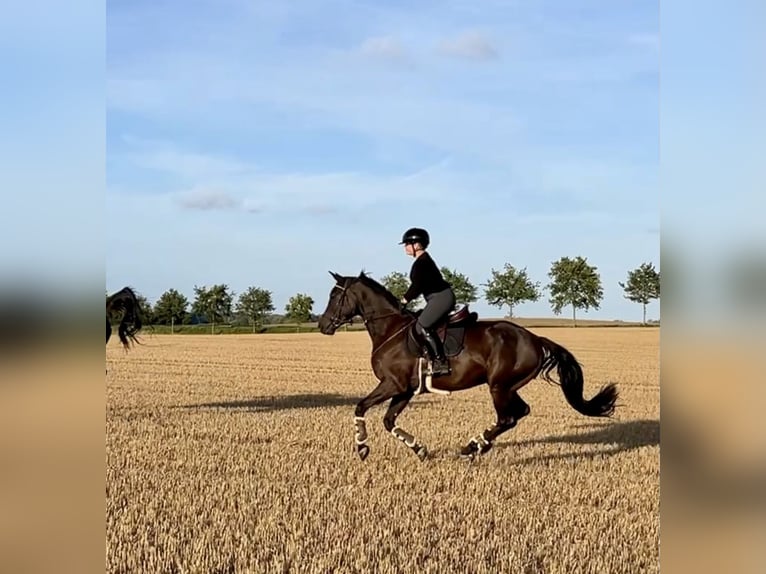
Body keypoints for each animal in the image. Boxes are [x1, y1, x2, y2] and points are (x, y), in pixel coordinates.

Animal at [317, 271, 619, 461]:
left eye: (334, 296)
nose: (322, 325)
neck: (390, 329)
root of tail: (534, 338)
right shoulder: (404, 390)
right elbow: (389, 421)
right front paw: (420, 450)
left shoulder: (392, 384)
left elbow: (360, 407)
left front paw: (362, 447)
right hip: (508, 386)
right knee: (520, 412)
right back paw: (477, 447)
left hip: (498, 386)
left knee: (507, 418)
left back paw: (471, 447)